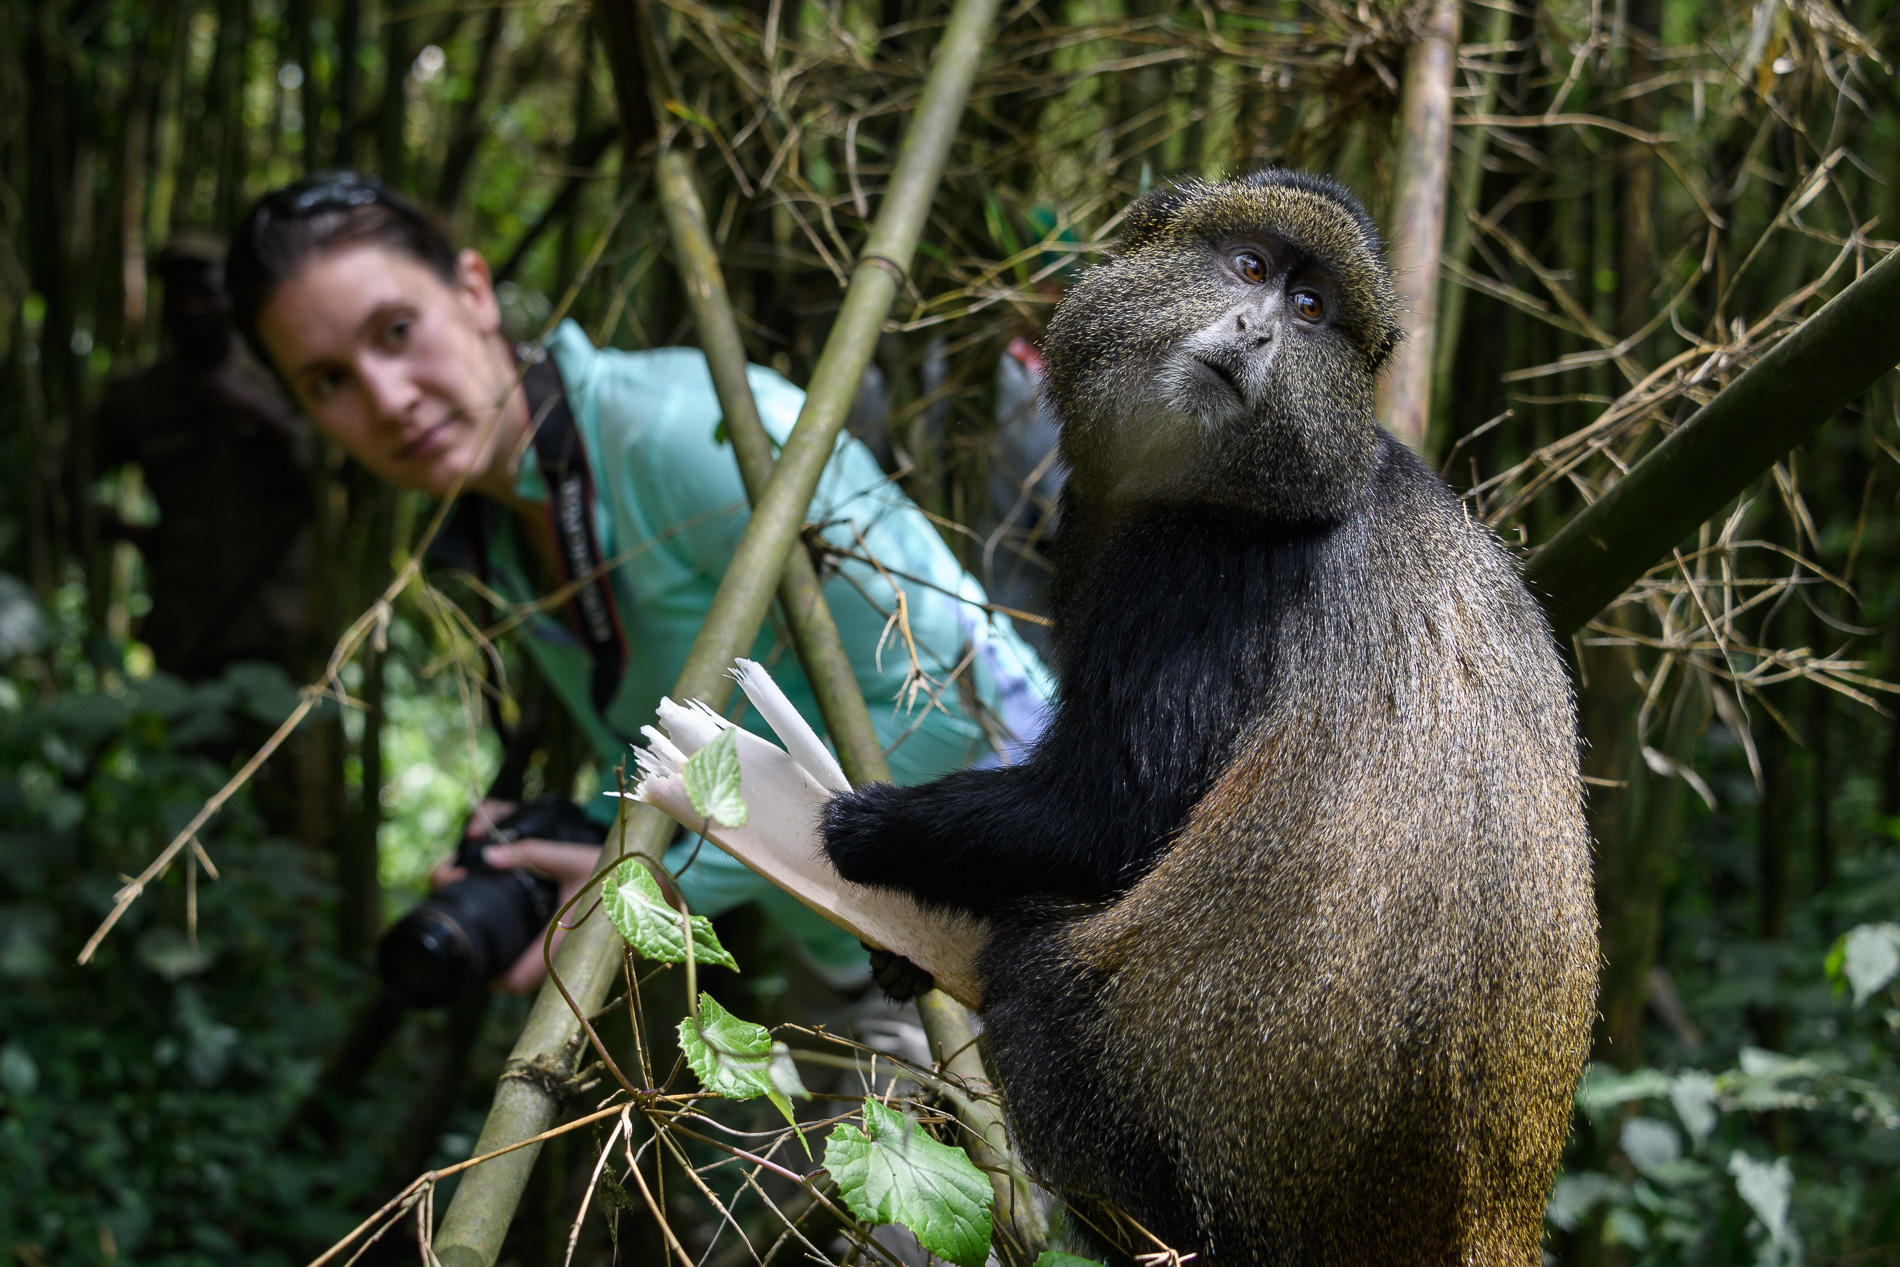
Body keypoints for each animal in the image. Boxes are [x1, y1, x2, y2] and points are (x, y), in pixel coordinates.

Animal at [820, 170, 1598, 1266]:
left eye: (1311, 309)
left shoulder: (1195, 573)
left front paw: (872, 833)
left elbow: (1108, 818)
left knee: (1036, 997)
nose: (1258, 329)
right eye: (1250, 266)